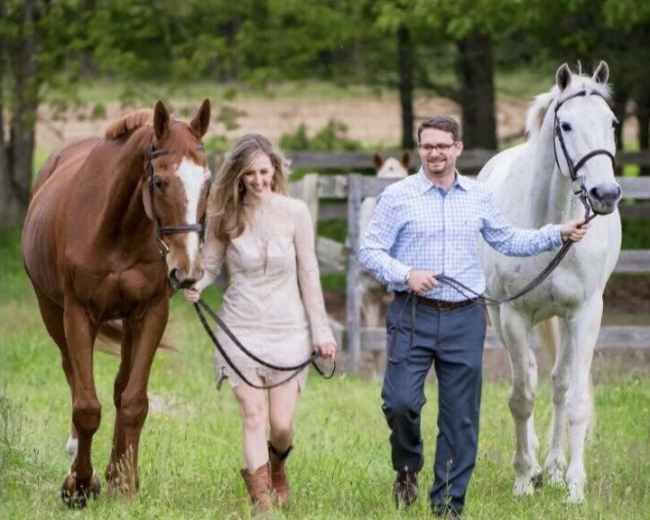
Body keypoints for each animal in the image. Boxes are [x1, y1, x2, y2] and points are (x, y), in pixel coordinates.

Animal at [21, 99, 212, 507]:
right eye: (160, 181)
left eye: (207, 182)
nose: (187, 270)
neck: (117, 230)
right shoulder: (78, 314)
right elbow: (86, 407)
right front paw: (78, 485)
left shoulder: (151, 313)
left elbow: (133, 401)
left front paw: (123, 483)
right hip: (52, 313)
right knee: (73, 376)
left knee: (121, 389)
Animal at [478, 61, 622, 503]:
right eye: (567, 125)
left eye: (612, 122)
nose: (606, 193)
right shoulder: (514, 315)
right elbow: (522, 397)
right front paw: (524, 478)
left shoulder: (585, 314)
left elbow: (574, 399)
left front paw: (573, 486)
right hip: (500, 317)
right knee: (529, 377)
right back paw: (539, 465)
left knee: (558, 385)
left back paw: (556, 469)